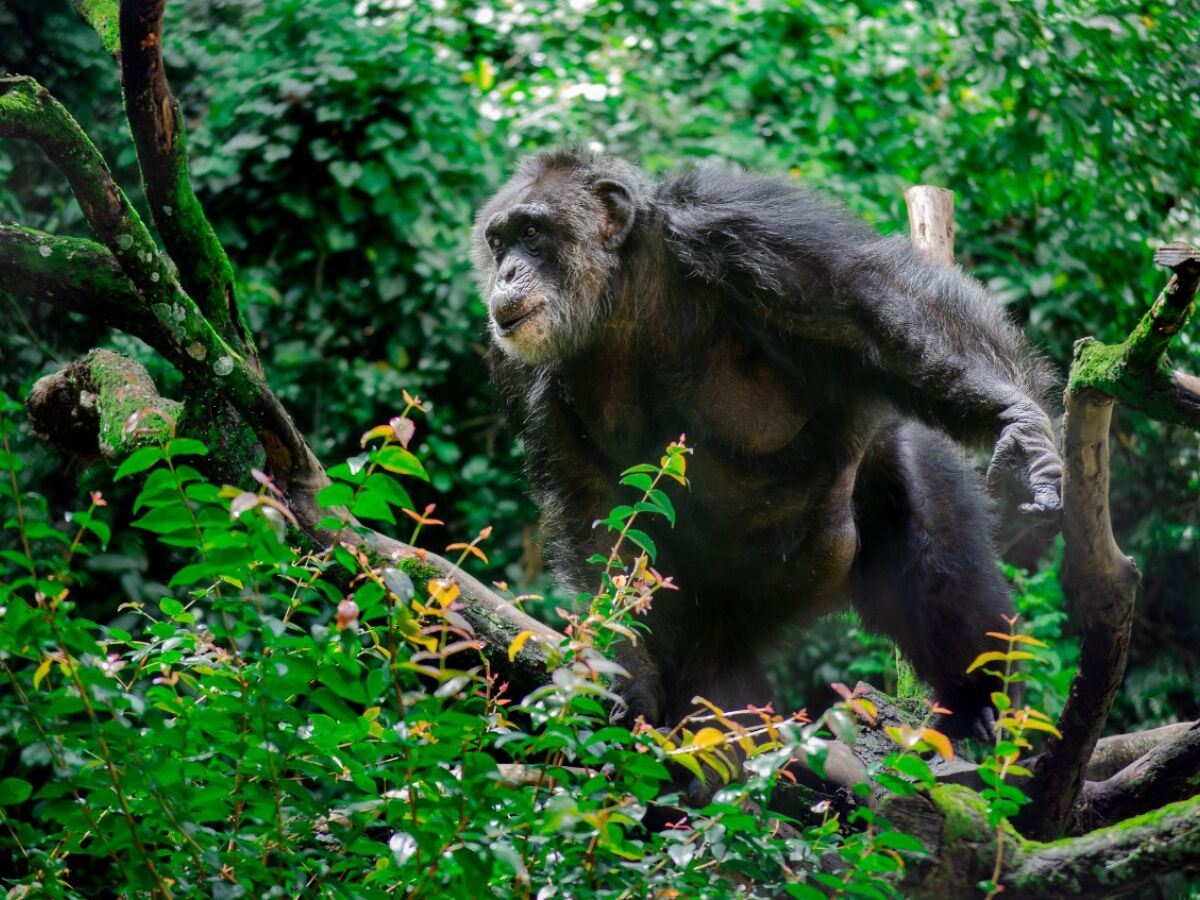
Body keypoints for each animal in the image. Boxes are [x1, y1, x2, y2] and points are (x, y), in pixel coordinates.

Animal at [468, 148, 1060, 763]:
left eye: (532, 233)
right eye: (498, 242)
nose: (507, 272)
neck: (619, 293)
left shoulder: (736, 225)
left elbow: (869, 301)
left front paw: (1019, 423)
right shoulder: (520, 368)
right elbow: (593, 503)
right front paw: (627, 681)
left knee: (939, 556)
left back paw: (981, 705)